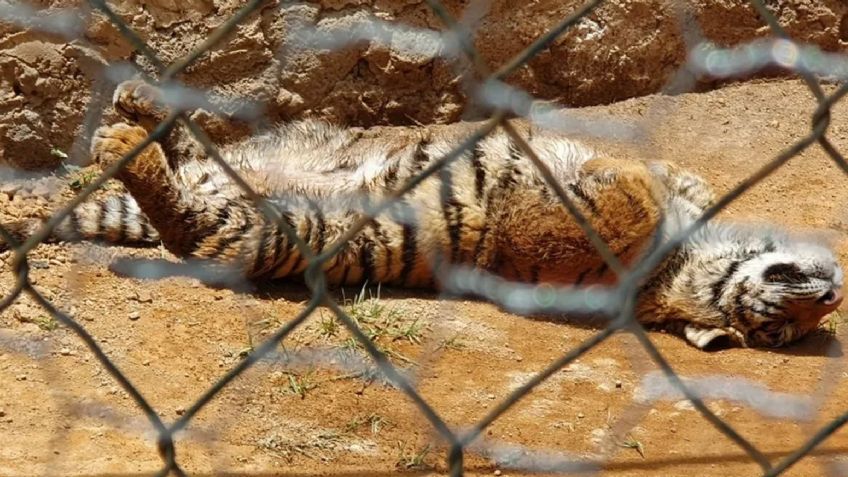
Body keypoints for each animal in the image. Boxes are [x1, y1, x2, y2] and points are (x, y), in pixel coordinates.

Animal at [1, 80, 843, 350]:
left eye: (777, 332)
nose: (831, 292)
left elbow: (625, 208)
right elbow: (649, 184)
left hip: (267, 229)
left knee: (186, 221)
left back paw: (124, 136)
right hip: (262, 153)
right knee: (184, 150)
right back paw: (140, 104)